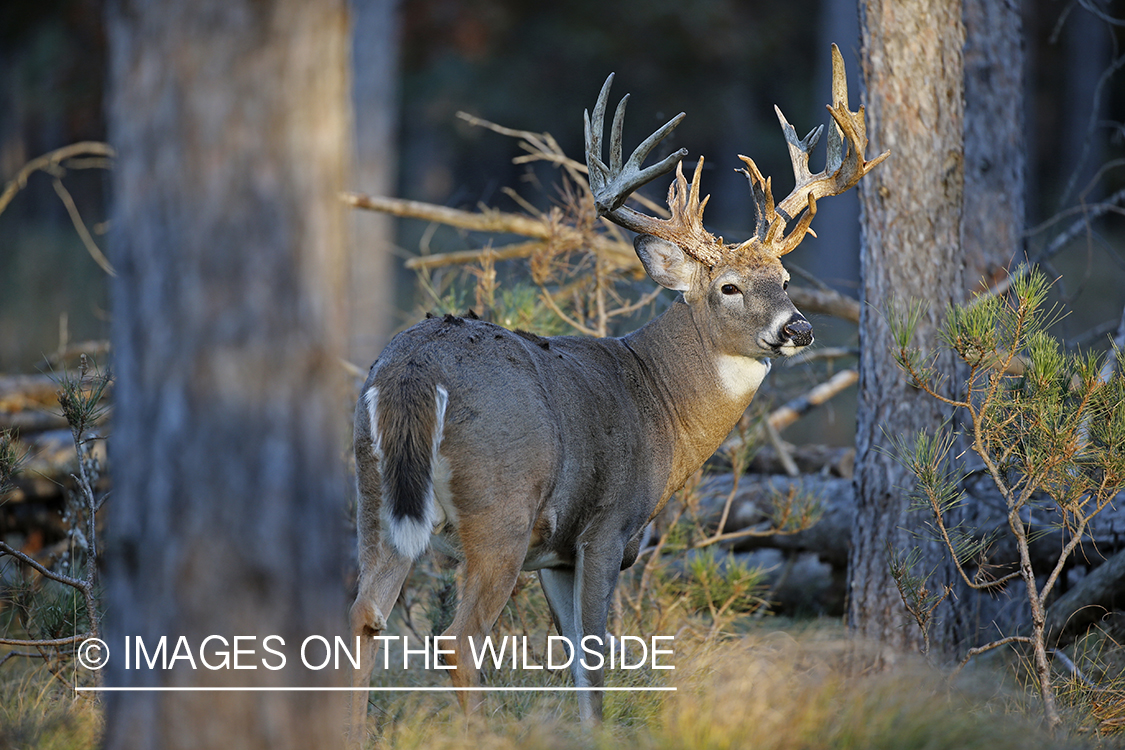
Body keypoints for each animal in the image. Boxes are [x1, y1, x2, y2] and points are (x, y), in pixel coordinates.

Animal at [344, 46, 886, 746]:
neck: (657, 401)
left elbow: (577, 660)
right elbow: (597, 658)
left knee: (364, 615)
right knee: (458, 639)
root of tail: (412, 368)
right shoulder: (604, 526)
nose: (799, 328)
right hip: (501, 505)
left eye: (786, 278)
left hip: (374, 494)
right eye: (730, 287)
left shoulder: (554, 555)